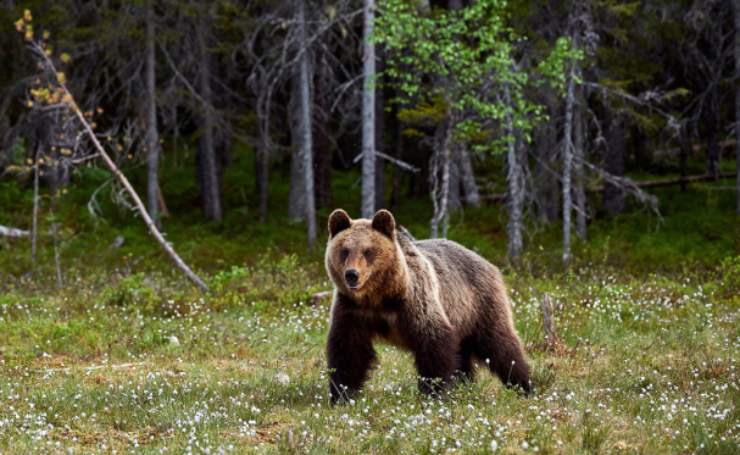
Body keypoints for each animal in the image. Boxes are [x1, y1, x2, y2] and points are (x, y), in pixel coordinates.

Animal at [326, 208, 532, 404]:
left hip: (480, 304)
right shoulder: (353, 310)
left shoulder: (415, 303)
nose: (352, 274)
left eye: (368, 251)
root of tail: (486, 261)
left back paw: (524, 385)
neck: (380, 297)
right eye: (344, 250)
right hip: (461, 320)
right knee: (464, 355)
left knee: (499, 344)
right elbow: (348, 350)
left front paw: (434, 392)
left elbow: (433, 343)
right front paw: (342, 395)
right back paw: (466, 385)